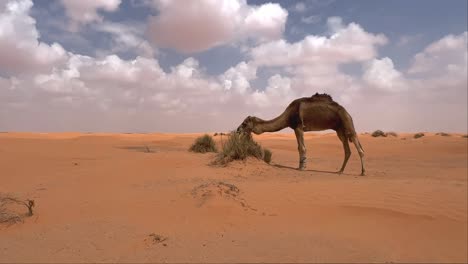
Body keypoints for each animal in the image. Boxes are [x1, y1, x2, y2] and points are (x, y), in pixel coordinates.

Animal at [238, 93, 366, 175]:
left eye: (244, 123)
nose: (238, 130)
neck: (288, 115)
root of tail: (348, 113)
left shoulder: (299, 127)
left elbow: (302, 147)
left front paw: (302, 168)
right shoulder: (296, 128)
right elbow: (299, 147)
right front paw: (299, 166)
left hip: (347, 123)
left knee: (359, 148)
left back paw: (363, 172)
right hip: (340, 130)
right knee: (347, 150)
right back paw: (340, 171)